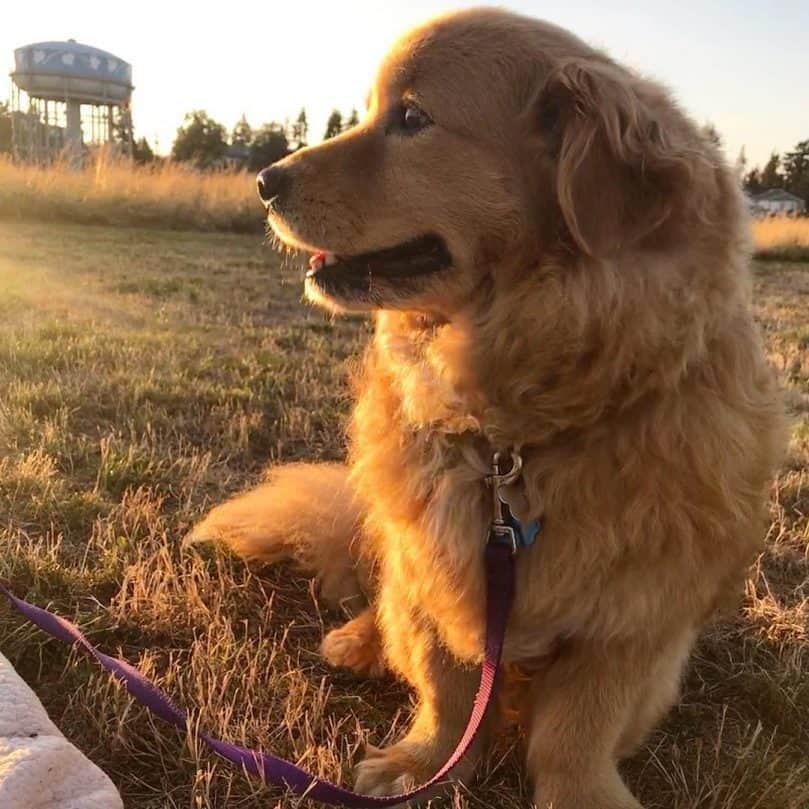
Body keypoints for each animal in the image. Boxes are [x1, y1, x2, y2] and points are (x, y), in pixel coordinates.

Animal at [189, 7, 784, 808]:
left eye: (412, 118)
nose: (262, 181)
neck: (514, 436)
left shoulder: (632, 617)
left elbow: (577, 728)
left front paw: (580, 792)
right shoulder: (434, 569)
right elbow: (445, 688)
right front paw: (422, 763)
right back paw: (357, 639)